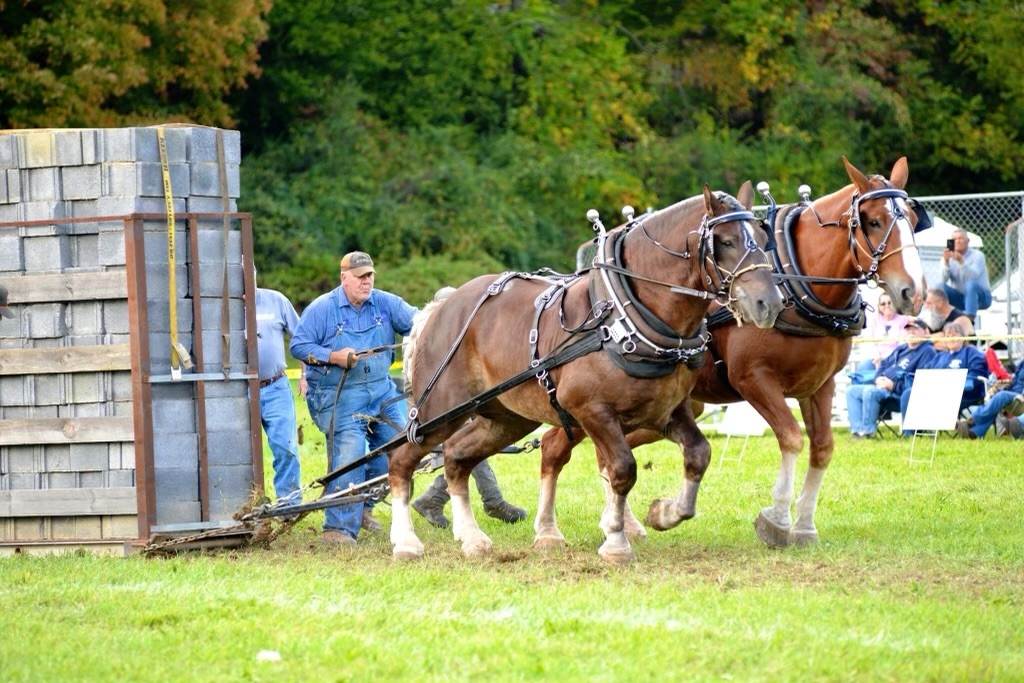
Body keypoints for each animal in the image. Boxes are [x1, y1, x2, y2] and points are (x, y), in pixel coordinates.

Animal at [388, 183, 785, 563]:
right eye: (726, 242)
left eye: (762, 237)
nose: (769, 303)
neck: (623, 318)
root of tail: (439, 308)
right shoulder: (591, 410)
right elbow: (622, 469)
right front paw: (616, 542)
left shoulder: (669, 411)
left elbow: (698, 454)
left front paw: (665, 513)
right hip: (438, 412)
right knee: (401, 460)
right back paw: (406, 542)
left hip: (507, 419)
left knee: (456, 457)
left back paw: (472, 538)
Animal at [535, 156, 926, 550]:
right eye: (874, 221)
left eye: (911, 217)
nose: (914, 291)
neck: (796, 282)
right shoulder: (753, 378)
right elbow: (791, 437)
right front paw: (776, 519)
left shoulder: (820, 386)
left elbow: (822, 448)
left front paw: (804, 526)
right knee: (558, 447)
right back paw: (554, 529)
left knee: (593, 451)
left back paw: (621, 523)